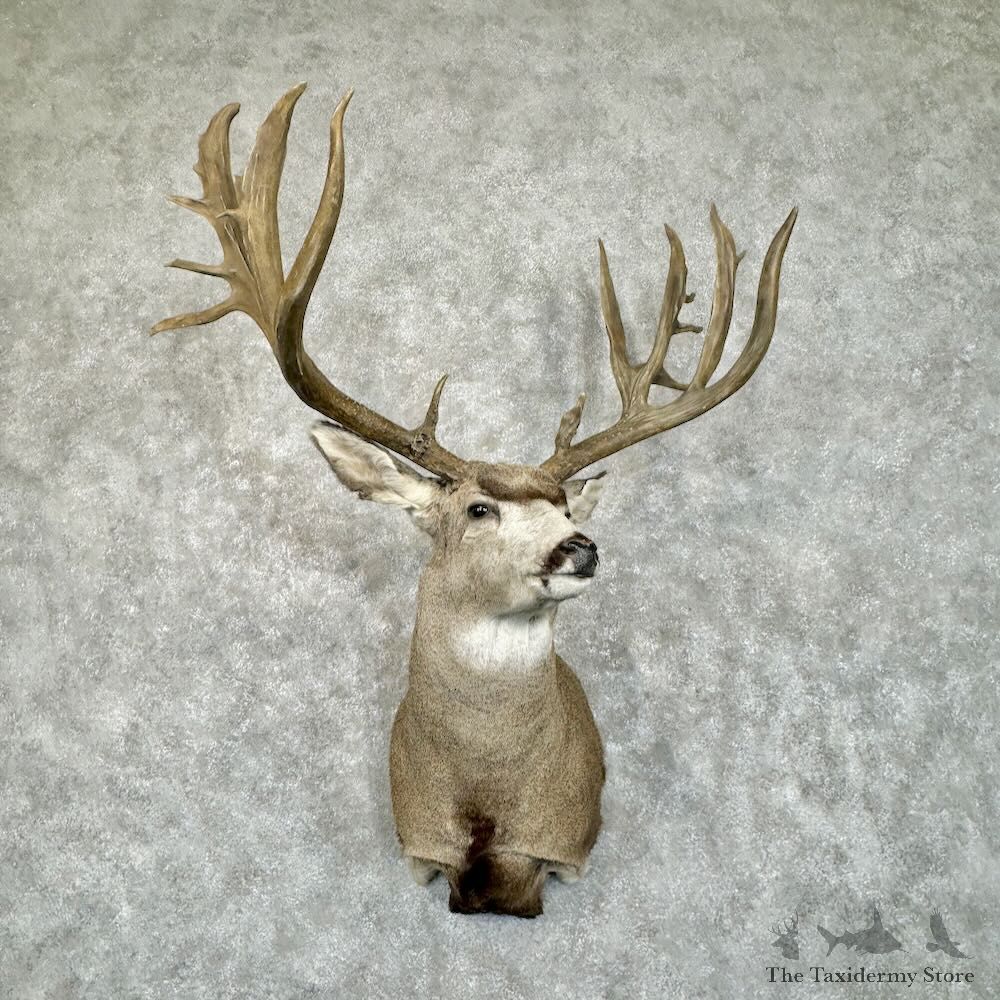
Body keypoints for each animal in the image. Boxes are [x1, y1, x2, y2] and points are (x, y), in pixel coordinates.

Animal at [152, 83, 796, 918]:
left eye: (566, 507)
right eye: (478, 510)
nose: (579, 546)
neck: (487, 800)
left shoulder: (568, 845)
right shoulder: (418, 845)